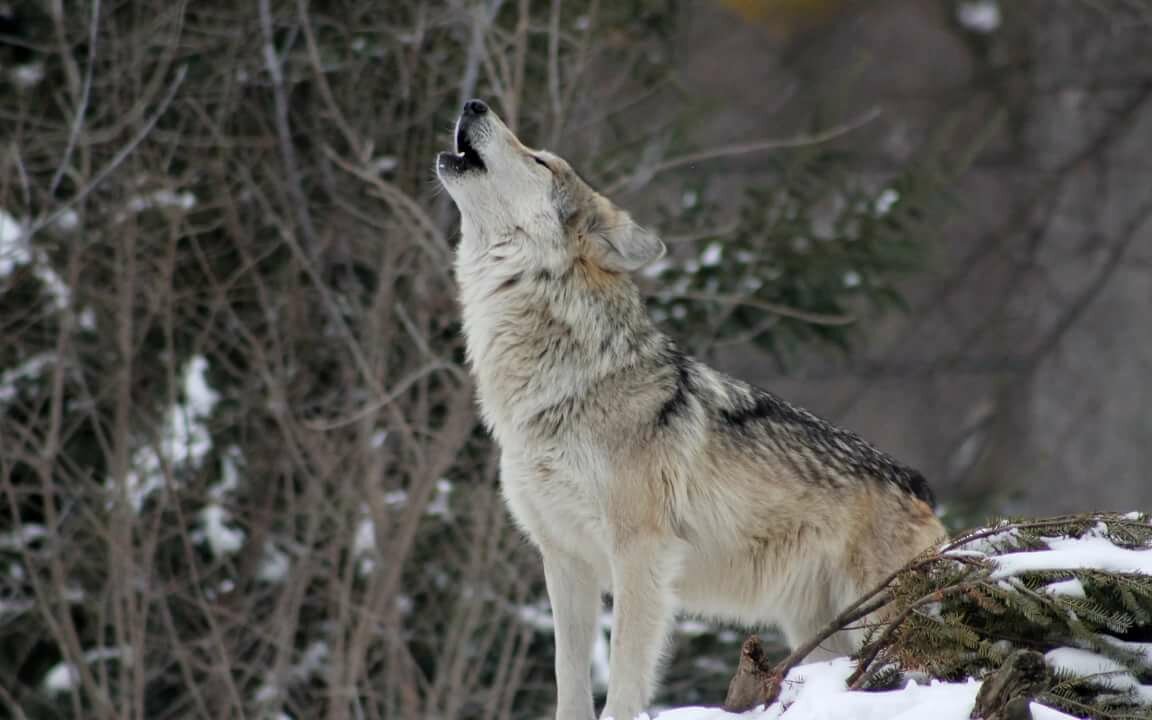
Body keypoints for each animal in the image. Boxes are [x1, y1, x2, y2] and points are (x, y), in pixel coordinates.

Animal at [436, 99, 947, 720]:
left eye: (540, 160)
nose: (473, 103)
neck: (560, 385)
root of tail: (919, 484)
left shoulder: (641, 554)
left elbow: (625, 679)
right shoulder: (564, 560)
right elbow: (569, 680)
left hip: (876, 621)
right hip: (821, 630)